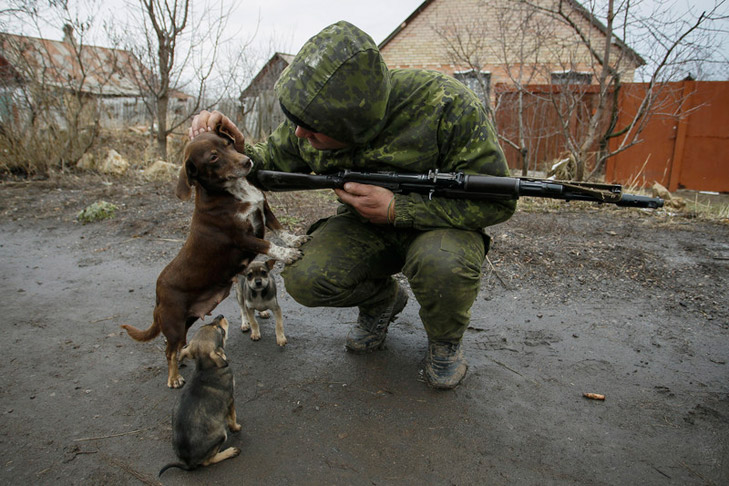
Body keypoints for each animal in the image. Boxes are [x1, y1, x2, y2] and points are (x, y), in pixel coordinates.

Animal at [158, 314, 240, 476]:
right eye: (220, 330)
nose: (220, 315)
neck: (206, 368)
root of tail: (188, 463)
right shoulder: (230, 400)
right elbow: (232, 417)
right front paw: (236, 427)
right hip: (221, 434)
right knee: (208, 461)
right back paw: (230, 452)